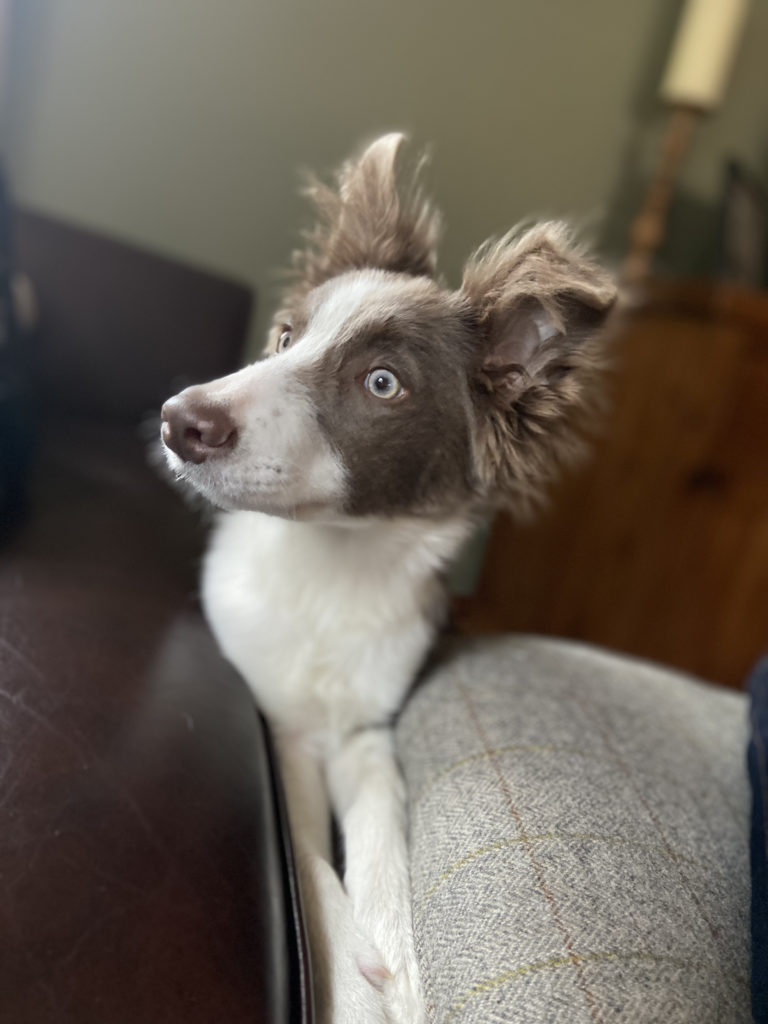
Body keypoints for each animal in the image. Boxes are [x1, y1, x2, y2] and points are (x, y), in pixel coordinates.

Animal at [159, 136, 618, 1024]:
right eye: (283, 336)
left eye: (382, 383)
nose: (179, 422)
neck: (334, 569)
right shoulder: (280, 727)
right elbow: (307, 860)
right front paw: (357, 981)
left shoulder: (368, 728)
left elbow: (383, 829)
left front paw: (399, 967)